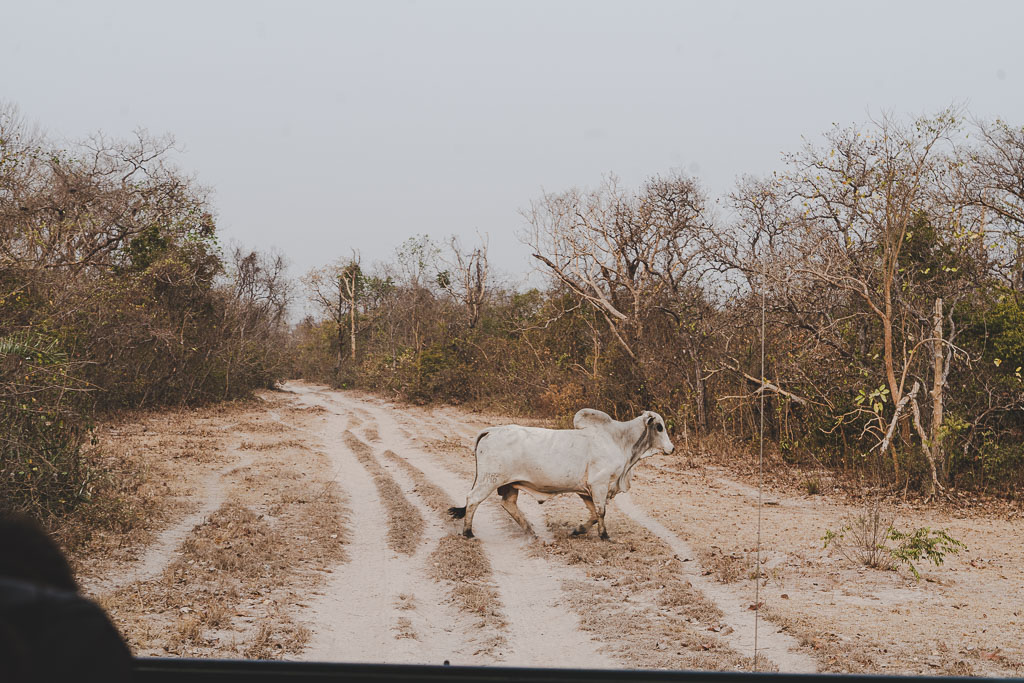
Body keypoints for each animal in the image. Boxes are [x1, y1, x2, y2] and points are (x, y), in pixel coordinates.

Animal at [448, 409, 674, 540]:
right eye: (659, 427)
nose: (671, 449)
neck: (619, 440)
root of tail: (491, 431)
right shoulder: (599, 485)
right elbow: (601, 512)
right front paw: (604, 536)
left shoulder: (585, 490)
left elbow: (594, 515)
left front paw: (578, 530)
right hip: (489, 480)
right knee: (472, 500)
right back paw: (468, 533)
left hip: (510, 484)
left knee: (508, 505)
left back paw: (531, 532)